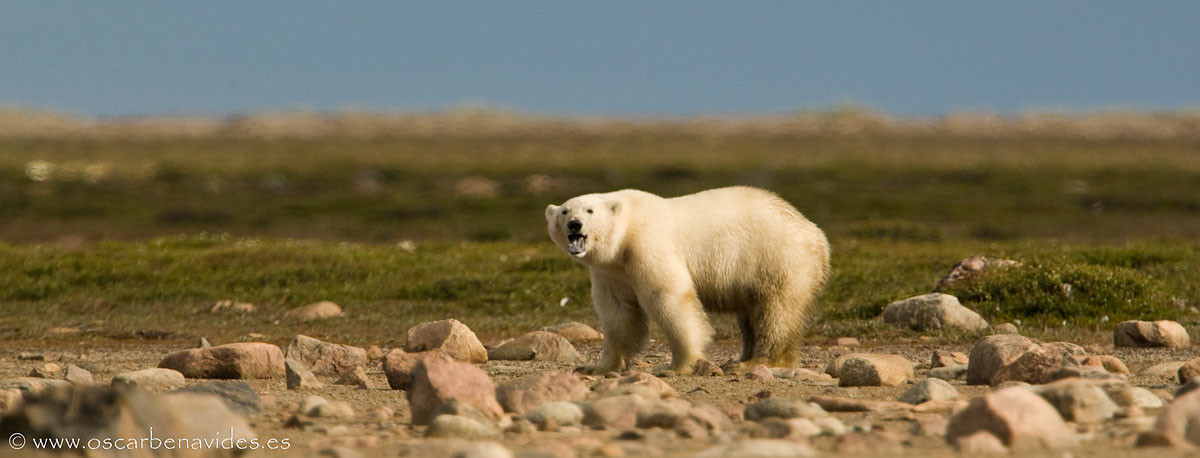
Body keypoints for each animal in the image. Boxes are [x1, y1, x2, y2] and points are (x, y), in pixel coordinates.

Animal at [545, 186, 830, 375]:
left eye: (590, 210)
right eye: (564, 211)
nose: (574, 224)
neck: (626, 233)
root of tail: (817, 236)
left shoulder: (648, 244)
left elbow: (669, 297)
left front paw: (678, 365)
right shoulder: (612, 271)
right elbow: (619, 313)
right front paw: (597, 367)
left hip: (776, 258)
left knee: (776, 312)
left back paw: (759, 362)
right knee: (752, 314)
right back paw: (740, 359)